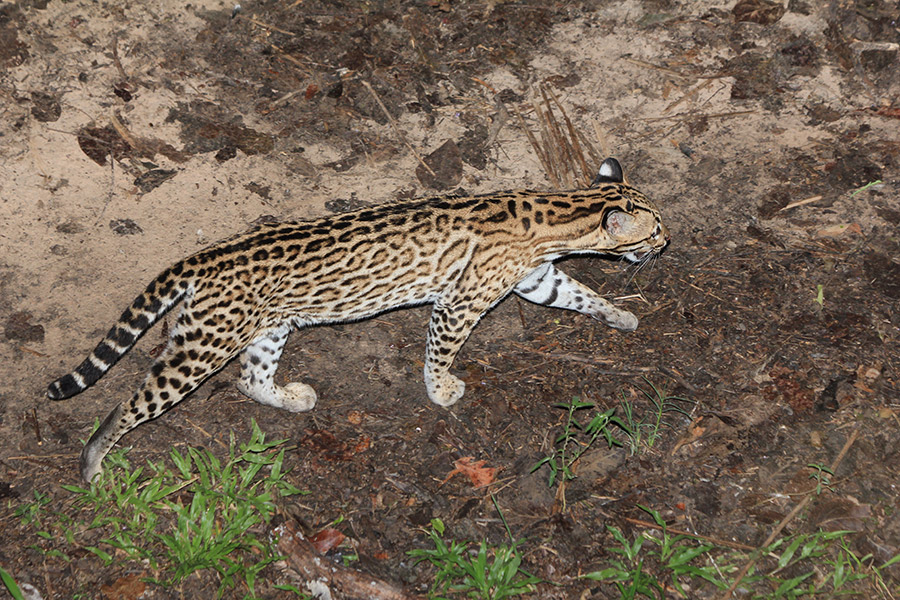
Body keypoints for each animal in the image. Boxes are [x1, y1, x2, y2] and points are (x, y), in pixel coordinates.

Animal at [49, 157, 668, 480]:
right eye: (655, 229)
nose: (668, 243)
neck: (558, 211)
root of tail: (207, 255)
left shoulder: (537, 279)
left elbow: (580, 294)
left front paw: (618, 315)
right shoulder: (459, 303)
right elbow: (440, 352)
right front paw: (441, 390)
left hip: (271, 326)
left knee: (251, 379)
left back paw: (288, 397)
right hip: (202, 346)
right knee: (130, 403)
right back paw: (93, 459)